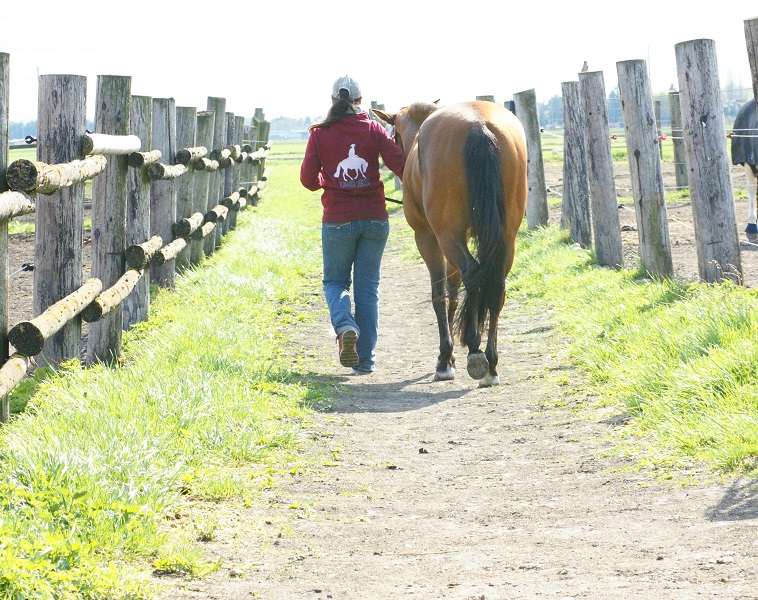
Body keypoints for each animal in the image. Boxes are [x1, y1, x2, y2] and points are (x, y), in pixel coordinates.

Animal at [374, 101, 528, 386]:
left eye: (393, 135)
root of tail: (479, 125)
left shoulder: (427, 238)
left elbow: (440, 295)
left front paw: (445, 358)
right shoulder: (464, 237)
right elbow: (454, 294)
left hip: (447, 236)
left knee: (473, 274)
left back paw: (475, 352)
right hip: (505, 238)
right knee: (496, 287)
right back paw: (491, 364)